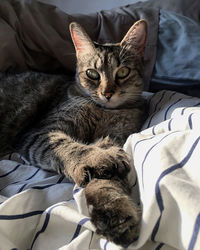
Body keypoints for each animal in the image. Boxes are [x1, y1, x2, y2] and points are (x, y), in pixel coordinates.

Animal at [0, 20, 148, 246]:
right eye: (92, 74)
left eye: (122, 72)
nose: (107, 93)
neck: (103, 111)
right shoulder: (42, 133)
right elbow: (71, 147)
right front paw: (97, 156)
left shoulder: (116, 135)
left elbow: (104, 182)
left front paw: (113, 211)